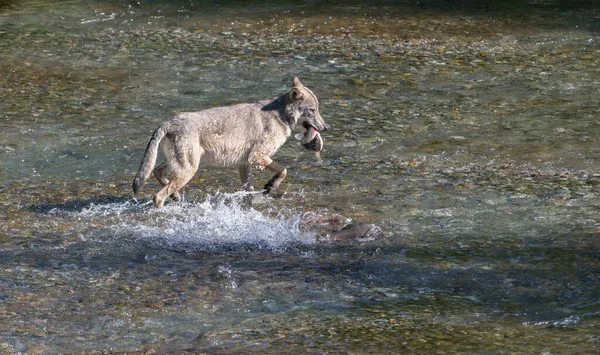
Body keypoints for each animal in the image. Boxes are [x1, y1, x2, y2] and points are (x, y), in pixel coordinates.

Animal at [134, 76, 328, 207]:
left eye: (318, 109)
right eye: (312, 111)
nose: (326, 127)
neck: (279, 114)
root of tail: (168, 122)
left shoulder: (245, 163)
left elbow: (248, 190)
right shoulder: (257, 156)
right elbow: (283, 170)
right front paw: (271, 186)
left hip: (180, 165)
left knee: (157, 172)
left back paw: (175, 196)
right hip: (188, 169)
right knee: (157, 196)